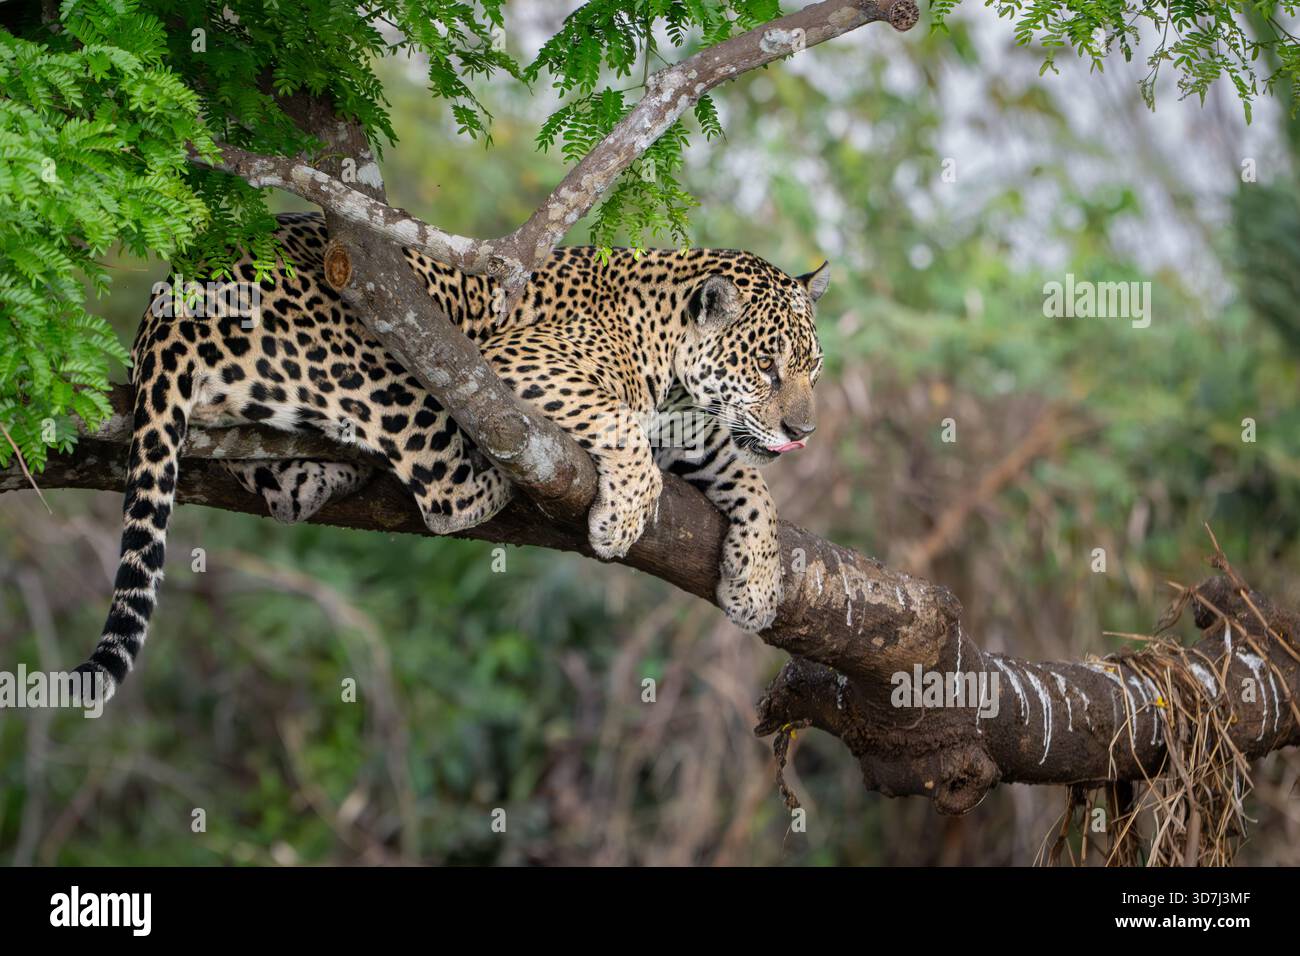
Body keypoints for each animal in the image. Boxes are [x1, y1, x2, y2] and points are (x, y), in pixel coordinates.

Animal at [75, 212, 829, 701]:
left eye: (812, 368)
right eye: (766, 368)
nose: (804, 429)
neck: (668, 355)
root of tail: (171, 308)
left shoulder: (692, 427)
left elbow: (745, 476)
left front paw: (758, 581)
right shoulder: (520, 359)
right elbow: (620, 424)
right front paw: (624, 516)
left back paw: (317, 474)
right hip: (405, 356)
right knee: (445, 486)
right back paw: (482, 481)